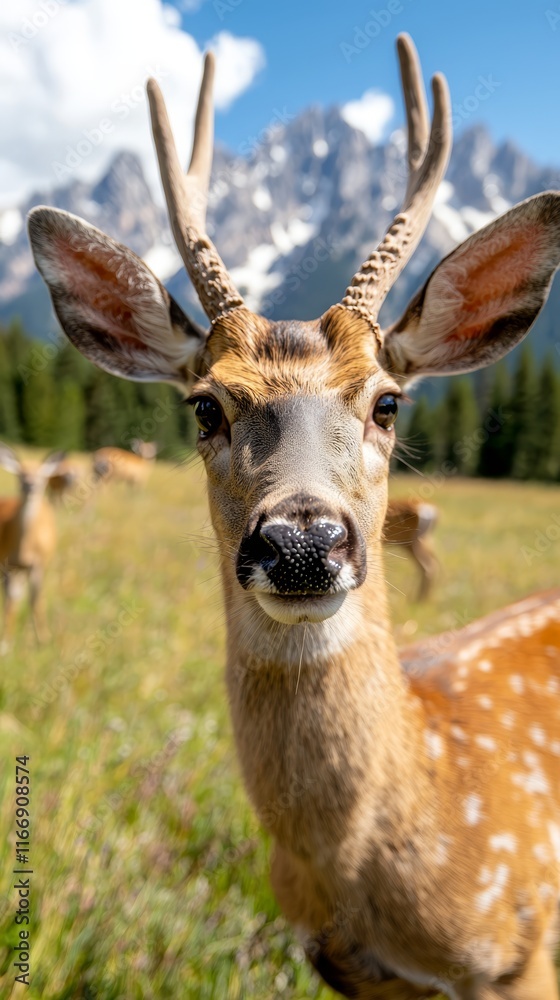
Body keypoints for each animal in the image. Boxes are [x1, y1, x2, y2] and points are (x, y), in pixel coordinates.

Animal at [0, 444, 66, 647]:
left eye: (41, 475)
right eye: (20, 474)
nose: (30, 485)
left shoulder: (39, 564)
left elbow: (36, 601)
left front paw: (44, 640)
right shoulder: (8, 564)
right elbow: (11, 603)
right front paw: (6, 642)